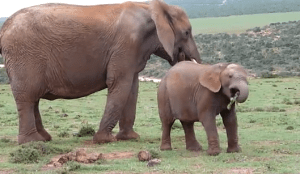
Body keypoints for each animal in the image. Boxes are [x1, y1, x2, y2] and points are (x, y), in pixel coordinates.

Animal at [0, 0, 202, 144]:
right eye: (186, 32)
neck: (152, 7)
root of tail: (4, 28)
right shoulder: (127, 45)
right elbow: (120, 84)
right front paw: (105, 140)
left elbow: (132, 88)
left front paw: (130, 138)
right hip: (24, 56)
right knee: (27, 97)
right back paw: (32, 142)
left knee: (32, 98)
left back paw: (45, 138)